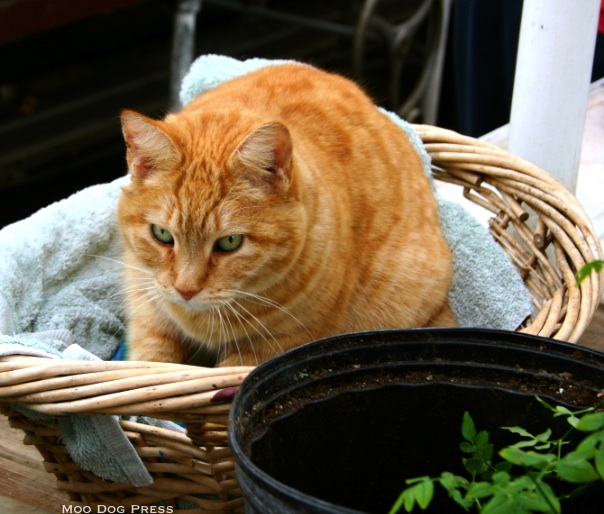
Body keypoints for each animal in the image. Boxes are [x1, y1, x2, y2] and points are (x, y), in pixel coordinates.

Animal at [117, 63, 452, 364]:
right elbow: (149, 363)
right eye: (162, 235)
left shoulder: (277, 345)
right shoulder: (146, 303)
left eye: (230, 242)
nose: (185, 290)